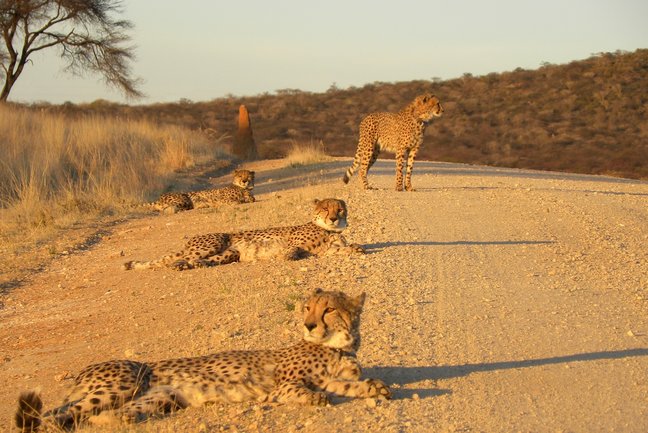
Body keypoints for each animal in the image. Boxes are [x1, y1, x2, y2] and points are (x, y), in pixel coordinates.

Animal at [15, 286, 390, 428]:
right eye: (306, 308)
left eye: (328, 310)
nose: (308, 324)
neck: (339, 346)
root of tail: (84, 369)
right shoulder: (281, 386)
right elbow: (303, 390)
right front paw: (313, 398)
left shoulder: (335, 376)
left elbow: (350, 385)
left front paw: (374, 387)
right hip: (120, 385)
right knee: (52, 415)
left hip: (156, 400)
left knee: (107, 417)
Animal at [121, 198, 364, 270]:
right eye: (325, 209)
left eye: (339, 209)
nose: (333, 218)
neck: (330, 231)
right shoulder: (292, 241)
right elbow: (292, 248)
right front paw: (287, 255)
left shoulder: (329, 249)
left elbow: (345, 248)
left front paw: (357, 248)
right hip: (212, 243)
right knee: (180, 259)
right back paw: (179, 264)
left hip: (230, 254)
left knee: (207, 260)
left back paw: (199, 265)